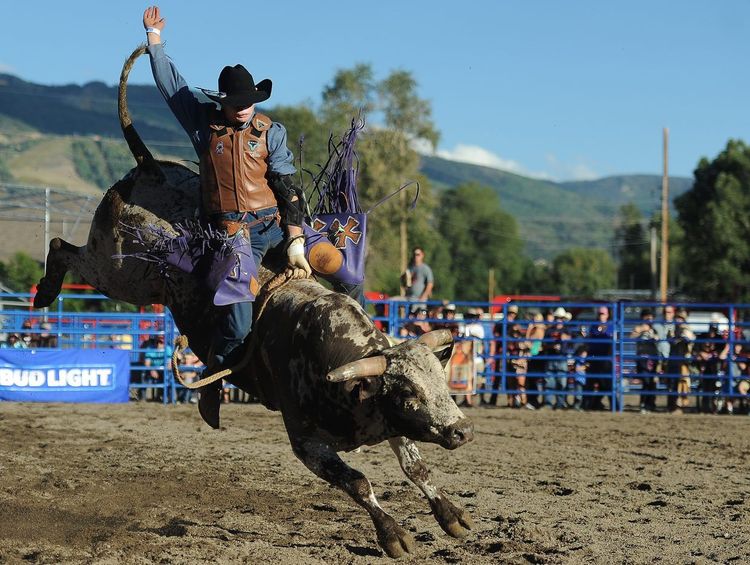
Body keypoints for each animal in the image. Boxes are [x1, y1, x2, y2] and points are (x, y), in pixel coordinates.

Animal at [35, 45, 476, 556]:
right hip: (122, 270)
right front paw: (393, 534)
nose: (462, 430)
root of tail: (150, 168)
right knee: (63, 248)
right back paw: (45, 290)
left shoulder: (390, 426)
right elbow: (359, 482)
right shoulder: (305, 443)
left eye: (440, 380)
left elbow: (415, 466)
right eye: (407, 393)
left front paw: (451, 515)